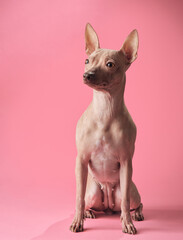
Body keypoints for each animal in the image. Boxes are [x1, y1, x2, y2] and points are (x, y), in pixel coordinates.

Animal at [69, 23, 144, 234]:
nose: (87, 75)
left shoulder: (127, 163)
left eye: (110, 64)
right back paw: (89, 213)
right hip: (93, 191)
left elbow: (125, 202)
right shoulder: (81, 161)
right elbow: (78, 198)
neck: (105, 111)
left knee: (134, 202)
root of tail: (109, 206)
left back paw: (136, 214)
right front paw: (78, 221)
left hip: (130, 189)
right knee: (88, 201)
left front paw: (127, 223)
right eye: (87, 61)